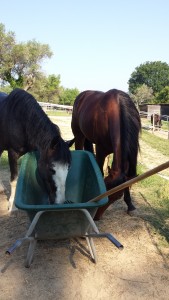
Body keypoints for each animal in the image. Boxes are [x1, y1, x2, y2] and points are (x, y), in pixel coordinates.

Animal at [71, 88, 141, 219]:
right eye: (105, 187)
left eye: (116, 197)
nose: (96, 217)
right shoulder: (101, 150)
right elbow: (98, 170)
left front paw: (130, 205)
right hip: (78, 135)